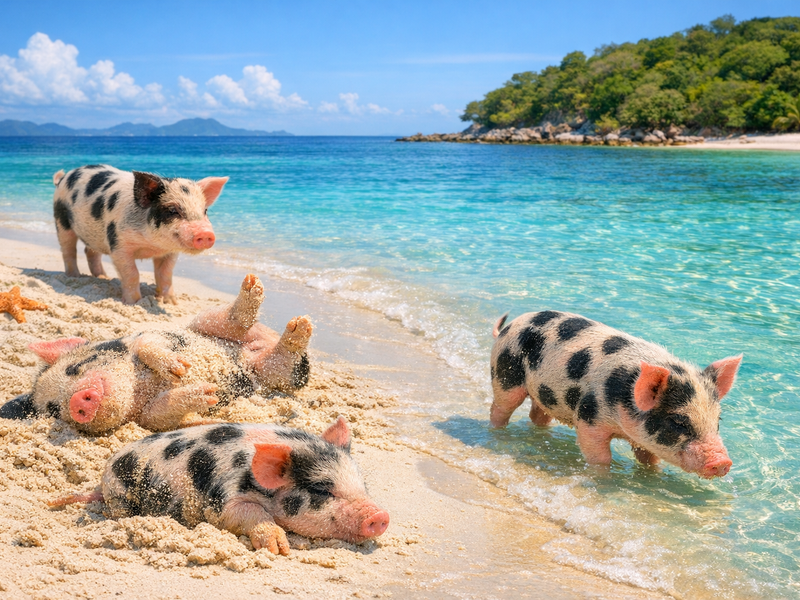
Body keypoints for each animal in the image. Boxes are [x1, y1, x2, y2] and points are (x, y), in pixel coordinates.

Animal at [0, 275, 313, 434]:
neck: (140, 388)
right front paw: (205, 393)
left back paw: (274, 305)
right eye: (54, 409)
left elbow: (148, 344)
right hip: (274, 375)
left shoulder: (145, 336)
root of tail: (250, 360)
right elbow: (160, 415)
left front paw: (179, 369)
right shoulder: (146, 420)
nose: (78, 399)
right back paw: (295, 333)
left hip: (205, 327)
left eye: (76, 367)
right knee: (280, 364)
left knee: (232, 322)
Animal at [50, 418, 390, 555]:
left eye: (363, 484)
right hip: (121, 500)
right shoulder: (223, 501)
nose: (381, 516)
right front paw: (280, 548)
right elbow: (247, 515)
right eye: (322, 489)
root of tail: (102, 481)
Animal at [52, 164, 228, 304]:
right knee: (68, 250)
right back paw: (75, 277)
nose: (205, 233)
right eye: (172, 210)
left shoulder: (170, 252)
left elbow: (165, 275)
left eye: (205, 210)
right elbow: (132, 274)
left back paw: (103, 277)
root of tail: (63, 178)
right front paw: (134, 302)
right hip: (61, 219)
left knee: (90, 251)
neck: (151, 245)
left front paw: (171, 302)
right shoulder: (118, 245)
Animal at [489, 311, 742, 479]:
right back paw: (496, 433)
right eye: (678, 422)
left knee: (538, 415)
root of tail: (508, 327)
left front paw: (654, 475)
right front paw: (604, 478)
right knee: (500, 408)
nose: (723, 461)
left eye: (718, 420)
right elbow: (600, 457)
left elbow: (650, 459)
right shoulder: (588, 417)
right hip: (506, 374)